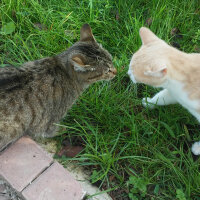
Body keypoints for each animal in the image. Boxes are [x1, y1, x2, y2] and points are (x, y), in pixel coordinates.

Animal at [128, 26, 200, 155]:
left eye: (133, 72)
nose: (128, 73)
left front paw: (198, 148)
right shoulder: (174, 93)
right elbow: (161, 98)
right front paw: (149, 103)